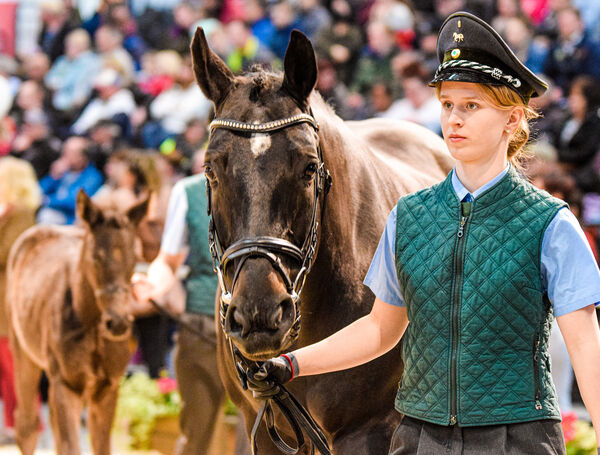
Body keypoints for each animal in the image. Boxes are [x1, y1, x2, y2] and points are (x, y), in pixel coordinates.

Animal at [7, 192, 149, 455]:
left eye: (135, 258)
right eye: (95, 256)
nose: (118, 323)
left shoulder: (107, 388)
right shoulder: (66, 384)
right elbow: (70, 445)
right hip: (22, 352)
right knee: (27, 426)